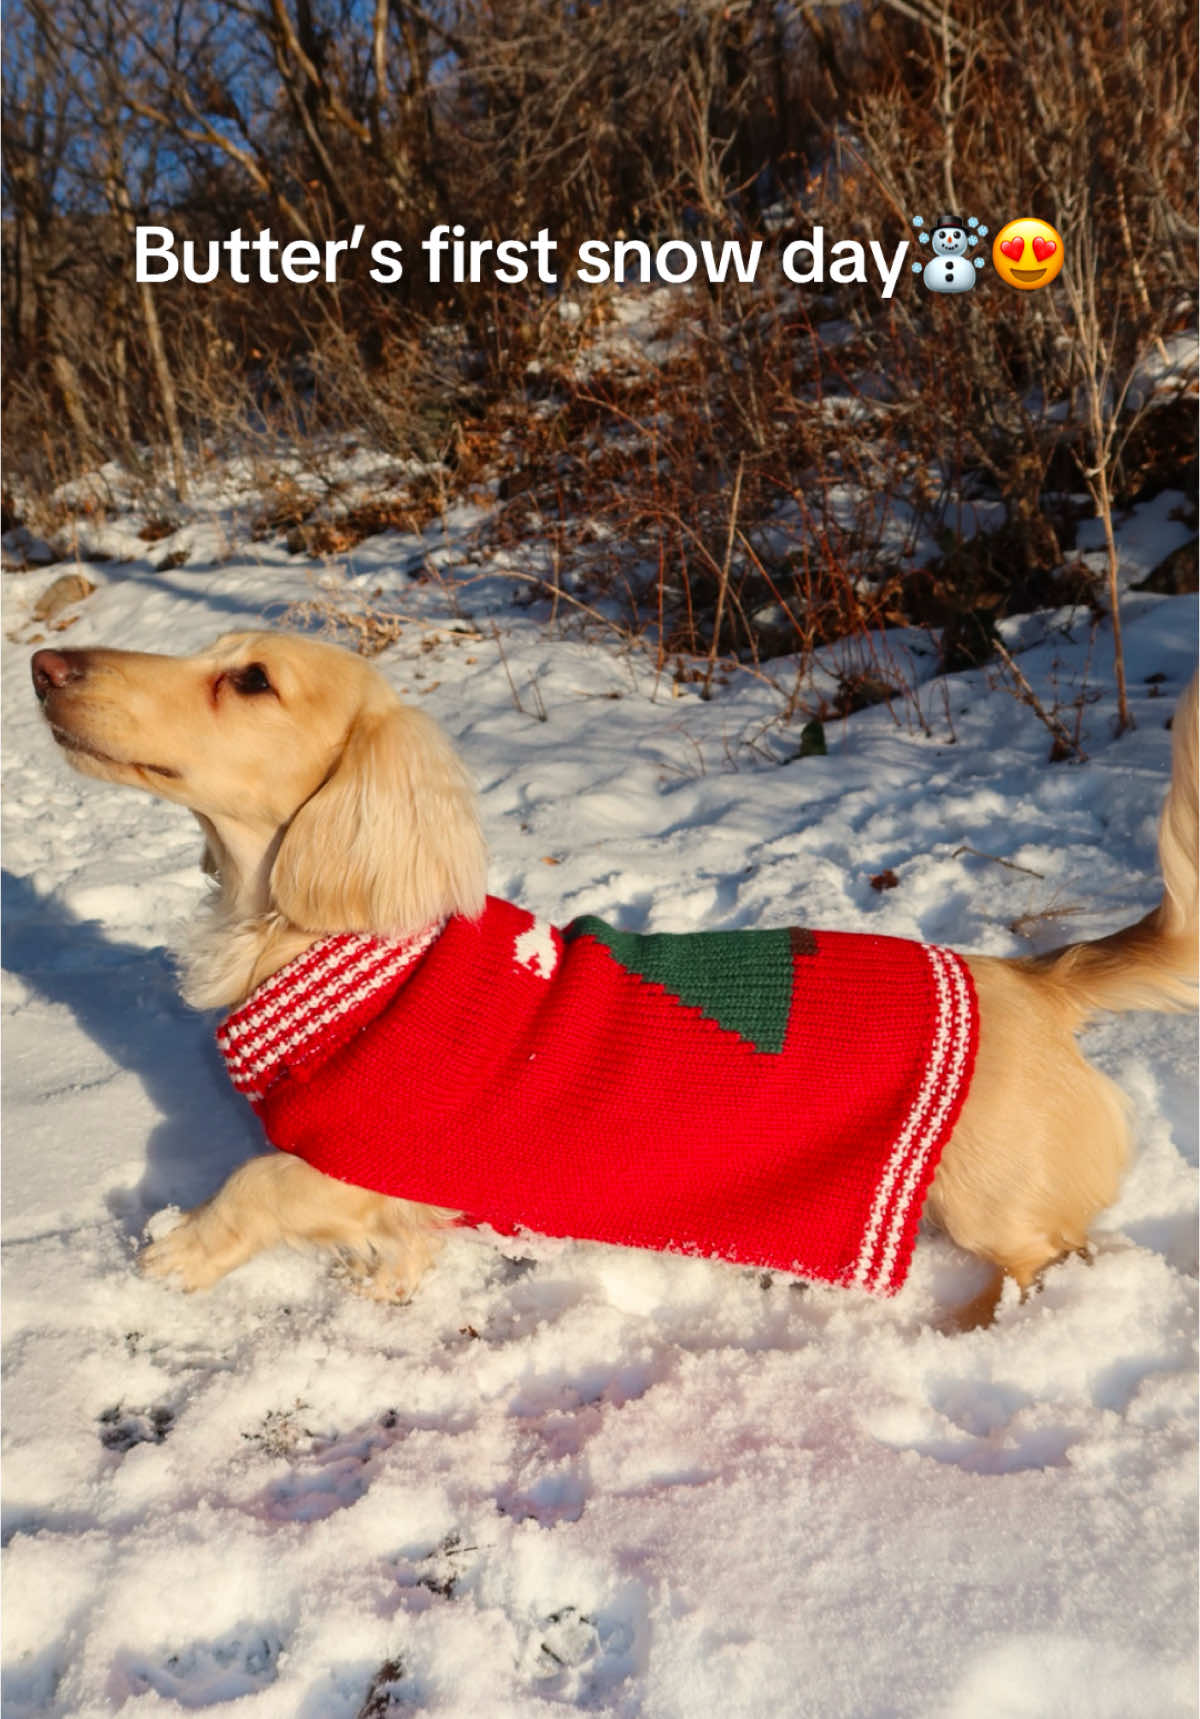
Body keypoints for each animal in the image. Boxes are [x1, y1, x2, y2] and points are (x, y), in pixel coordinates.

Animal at [30, 636, 1196, 1327]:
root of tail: (1037, 978)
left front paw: (176, 1256)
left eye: (251, 679)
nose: (44, 660)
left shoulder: (374, 1158)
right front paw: (383, 1287)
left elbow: (255, 1184)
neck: (349, 956)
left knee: (1056, 1255)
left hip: (993, 1205)